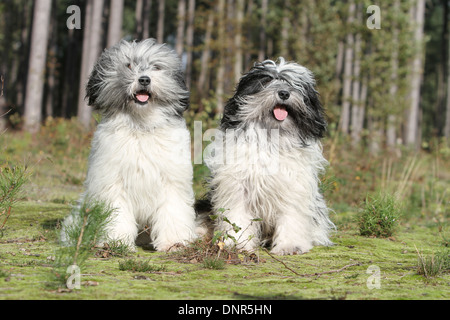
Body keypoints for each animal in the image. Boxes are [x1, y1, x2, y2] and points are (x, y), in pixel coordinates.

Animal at [61, 38, 197, 251]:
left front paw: (175, 241)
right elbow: (116, 213)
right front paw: (115, 241)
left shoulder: (172, 181)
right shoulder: (113, 183)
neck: (140, 124)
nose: (144, 79)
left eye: (156, 67)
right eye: (129, 65)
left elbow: (173, 210)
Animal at [204, 57, 334, 255]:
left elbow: (291, 216)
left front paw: (290, 245)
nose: (284, 93)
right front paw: (237, 243)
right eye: (266, 81)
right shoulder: (237, 185)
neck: (271, 137)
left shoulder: (293, 186)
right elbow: (237, 215)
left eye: (294, 84)